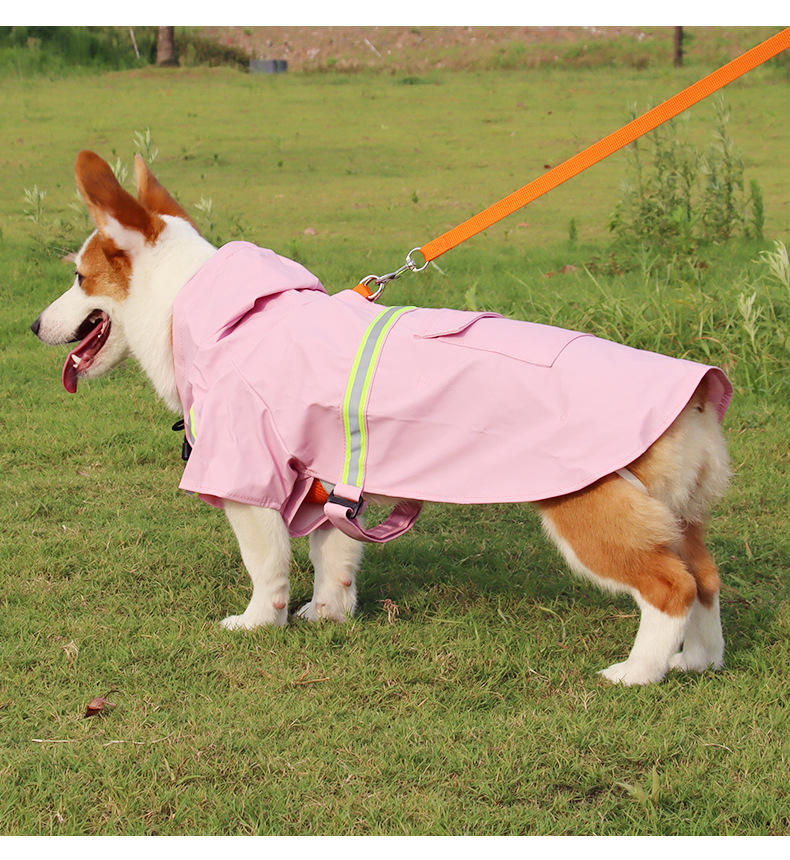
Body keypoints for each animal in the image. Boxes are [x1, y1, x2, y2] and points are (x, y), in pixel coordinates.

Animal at [32, 151, 732, 686]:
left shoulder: (248, 482)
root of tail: (693, 399)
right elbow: (333, 557)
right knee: (704, 577)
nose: (35, 325)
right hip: (680, 516)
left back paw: (639, 672)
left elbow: (268, 565)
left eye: (79, 277)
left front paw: (258, 623)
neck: (209, 311)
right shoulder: (331, 487)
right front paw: (327, 614)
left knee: (670, 586)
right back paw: (696, 661)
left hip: (590, 513)